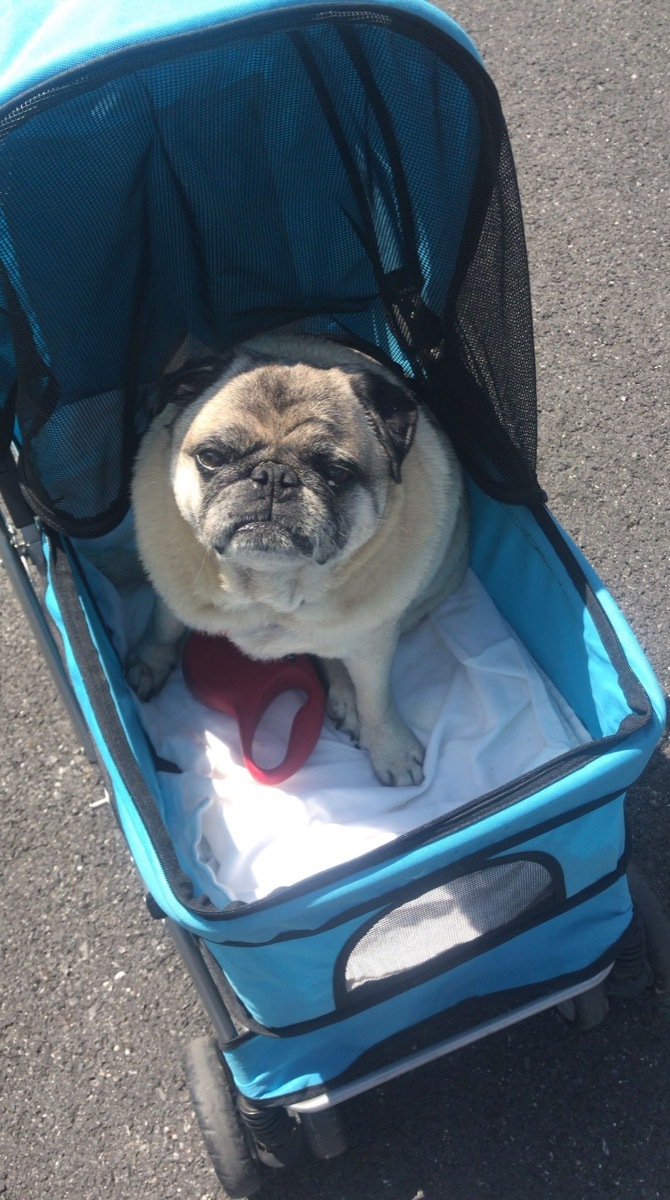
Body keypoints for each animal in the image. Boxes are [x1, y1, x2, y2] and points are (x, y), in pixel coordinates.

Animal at [128, 336, 470, 787]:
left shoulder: (375, 642)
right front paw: (148, 662)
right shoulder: (172, 592)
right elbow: (163, 626)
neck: (267, 585)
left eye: (335, 472)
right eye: (212, 457)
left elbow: (376, 697)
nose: (273, 477)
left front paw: (390, 750)